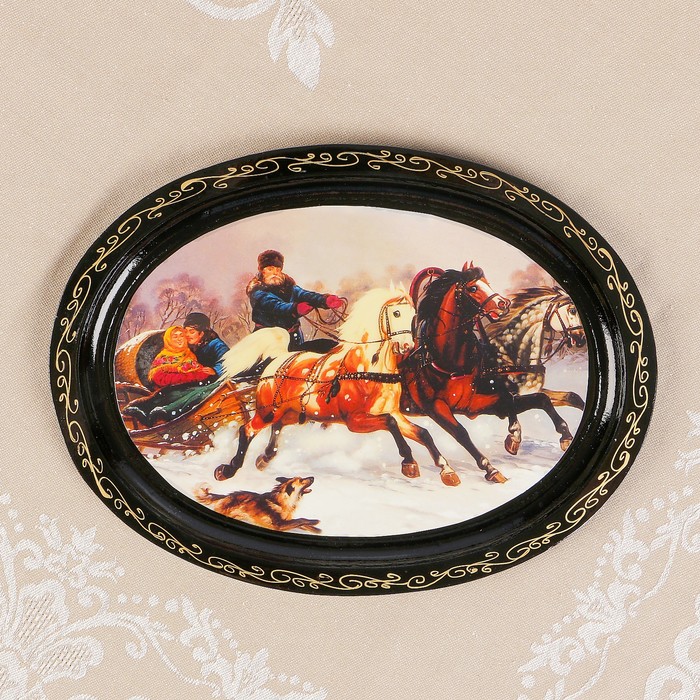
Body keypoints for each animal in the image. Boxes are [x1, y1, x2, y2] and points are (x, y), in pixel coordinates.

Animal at [214, 287, 462, 486]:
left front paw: (447, 470)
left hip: (292, 413)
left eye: (412, 315)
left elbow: (423, 433)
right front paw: (409, 463)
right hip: (267, 411)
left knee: (277, 427)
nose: (407, 346)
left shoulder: (393, 412)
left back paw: (265, 458)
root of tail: (279, 358)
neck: (369, 369)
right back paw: (228, 469)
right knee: (246, 430)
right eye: (396, 313)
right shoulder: (356, 421)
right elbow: (391, 426)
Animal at [400, 263, 513, 483]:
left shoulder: (475, 402)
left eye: (487, 283)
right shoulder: (436, 408)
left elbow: (508, 398)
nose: (503, 303)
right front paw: (490, 469)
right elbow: (461, 433)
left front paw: (515, 437)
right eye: (473, 288)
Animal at [482, 287, 586, 454]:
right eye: (571, 310)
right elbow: (541, 400)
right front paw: (514, 437)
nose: (581, 339)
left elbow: (570, 397)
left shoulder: (531, 390)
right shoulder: (502, 400)